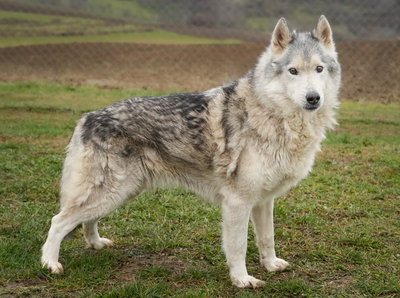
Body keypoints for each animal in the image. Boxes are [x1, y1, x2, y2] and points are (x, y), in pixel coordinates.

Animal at [41, 16, 340, 288]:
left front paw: (271, 265)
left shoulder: (264, 201)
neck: (273, 116)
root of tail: (87, 117)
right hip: (112, 192)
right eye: (293, 71)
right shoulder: (237, 202)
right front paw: (242, 280)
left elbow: (267, 239)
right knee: (58, 221)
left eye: (319, 69)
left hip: (120, 193)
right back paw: (50, 265)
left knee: (85, 221)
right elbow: (239, 248)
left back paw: (96, 244)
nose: (313, 98)